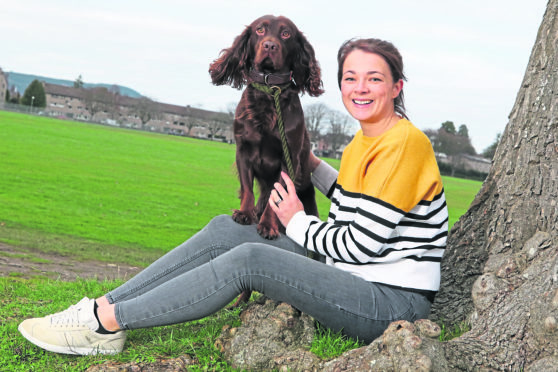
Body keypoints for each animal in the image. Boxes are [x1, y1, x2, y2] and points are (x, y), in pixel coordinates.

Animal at [210, 14, 324, 238]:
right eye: (260, 30)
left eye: (286, 33)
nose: (270, 45)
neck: (269, 90)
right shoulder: (243, 150)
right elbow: (247, 188)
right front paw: (245, 213)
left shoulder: (288, 158)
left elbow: (277, 197)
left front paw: (269, 225)